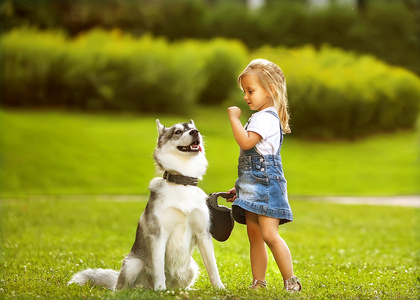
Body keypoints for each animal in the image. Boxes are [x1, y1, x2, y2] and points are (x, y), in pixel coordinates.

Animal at [69, 119, 225, 290]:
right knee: (121, 289)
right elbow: (159, 269)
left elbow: (213, 268)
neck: (182, 183)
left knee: (181, 287)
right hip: (133, 264)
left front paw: (220, 288)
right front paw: (161, 290)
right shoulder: (158, 235)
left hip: (191, 267)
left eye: (192, 128)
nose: (195, 132)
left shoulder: (204, 234)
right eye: (177, 132)